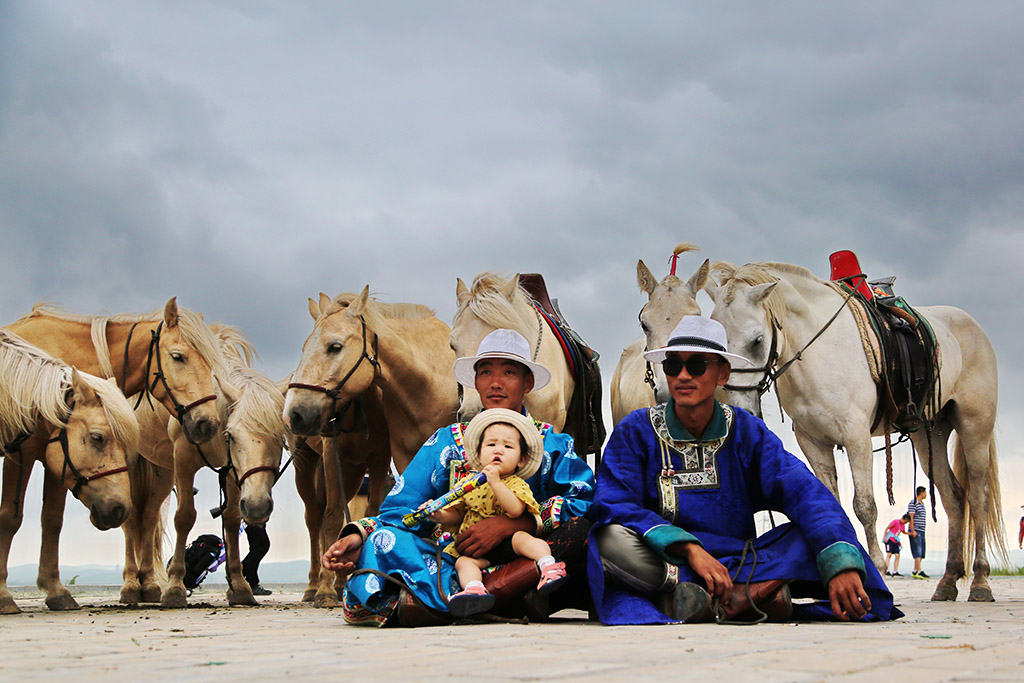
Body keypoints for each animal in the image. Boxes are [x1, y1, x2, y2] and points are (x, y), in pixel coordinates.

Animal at [0, 333, 140, 618]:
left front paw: (56, 592)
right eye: (97, 437)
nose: (120, 510)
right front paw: (2, 595)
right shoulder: (19, 456)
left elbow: (52, 521)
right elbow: (9, 517)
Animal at [122, 325, 288, 610]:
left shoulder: (232, 473)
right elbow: (184, 517)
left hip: (161, 473)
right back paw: (132, 586)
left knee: (149, 519)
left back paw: (150, 585)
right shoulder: (184, 460)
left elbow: (231, 520)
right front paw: (175, 587)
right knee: (131, 521)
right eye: (232, 435)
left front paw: (239, 586)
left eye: (280, 438)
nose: (257, 507)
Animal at [282, 288, 454, 610]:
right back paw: (315, 587)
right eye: (303, 348)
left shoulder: (380, 459)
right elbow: (333, 517)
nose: (295, 413)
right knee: (314, 519)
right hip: (307, 465)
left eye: (335, 346)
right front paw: (325, 591)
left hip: (352, 472)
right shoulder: (335, 454)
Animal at [708, 259, 1003, 602]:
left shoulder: (856, 438)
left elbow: (865, 506)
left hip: (974, 427)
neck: (818, 351)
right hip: (929, 433)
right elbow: (830, 505)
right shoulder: (813, 443)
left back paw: (980, 581)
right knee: (953, 497)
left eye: (756, 341)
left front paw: (877, 568)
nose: (737, 406)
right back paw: (948, 581)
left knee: (978, 497)